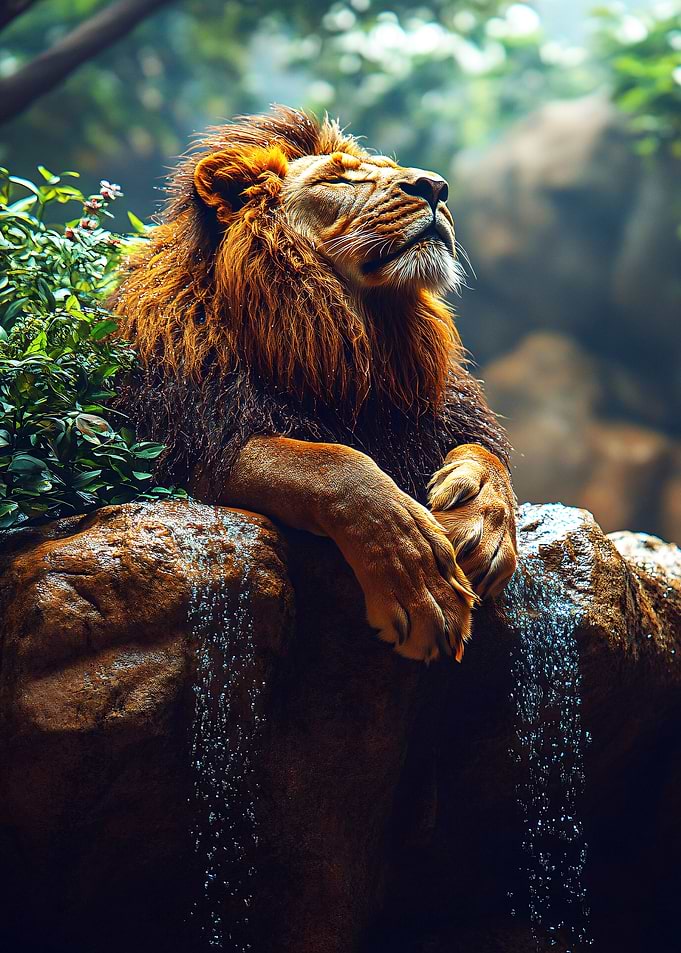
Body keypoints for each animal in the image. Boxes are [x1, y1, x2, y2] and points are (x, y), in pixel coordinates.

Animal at [111, 106, 517, 662]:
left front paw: (485, 522)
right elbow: (334, 465)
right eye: (338, 180)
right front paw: (423, 583)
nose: (435, 186)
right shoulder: (189, 441)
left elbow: (486, 455)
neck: (362, 349)